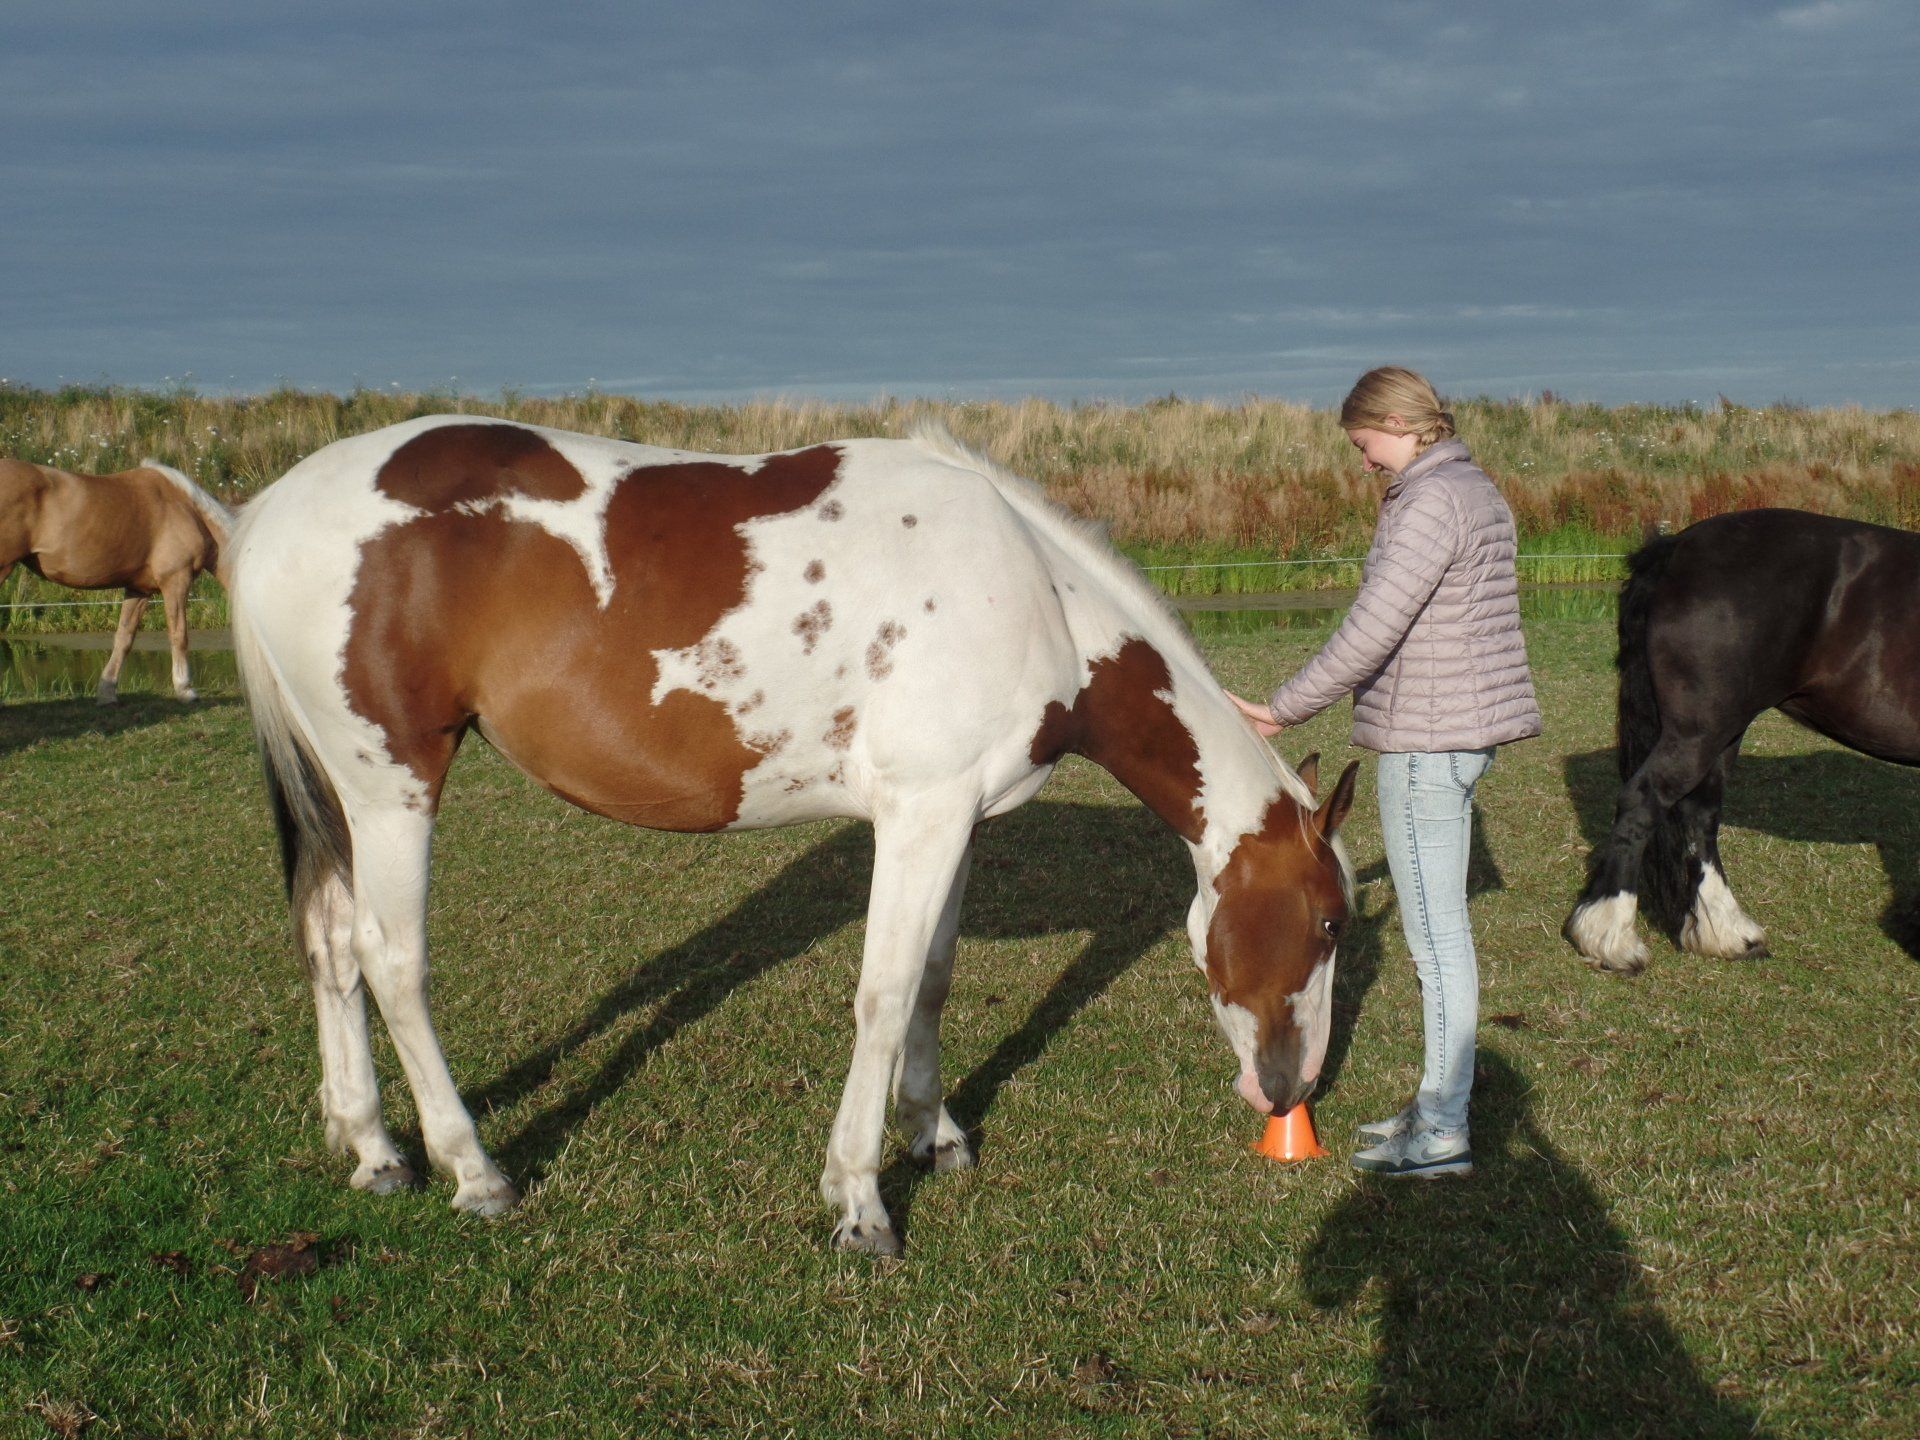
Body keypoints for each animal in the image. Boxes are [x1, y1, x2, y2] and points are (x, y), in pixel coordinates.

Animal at [0, 457, 231, 702]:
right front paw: (185, 689)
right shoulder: (176, 580)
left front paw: (107, 693)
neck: (187, 508)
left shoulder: (139, 590)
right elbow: (179, 634)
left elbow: (124, 638)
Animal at [228, 415, 1359, 1255]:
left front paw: (933, 1135)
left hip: (341, 794)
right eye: (1332, 925)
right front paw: (858, 1200)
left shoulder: (952, 817)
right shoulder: (919, 816)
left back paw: (373, 1149)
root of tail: (266, 514)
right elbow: (884, 996)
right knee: (391, 960)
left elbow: (932, 980)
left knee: (330, 945)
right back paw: (473, 1170)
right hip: (391, 785)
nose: (1293, 1088)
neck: (1035, 591)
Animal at [1566, 508, 1920, 975]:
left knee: (1700, 815)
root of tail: (1675, 548)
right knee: (1643, 802)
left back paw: (1726, 932)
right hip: (1698, 732)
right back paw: (1610, 939)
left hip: (1722, 733)